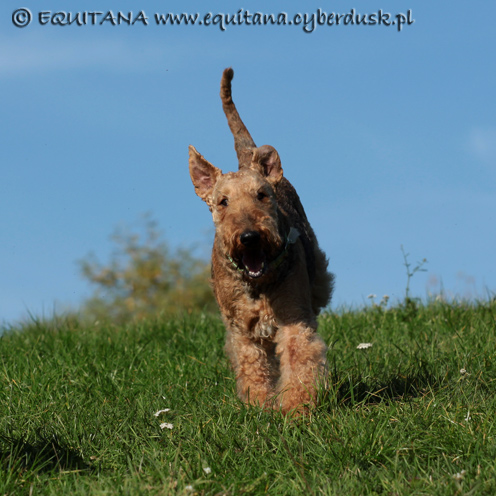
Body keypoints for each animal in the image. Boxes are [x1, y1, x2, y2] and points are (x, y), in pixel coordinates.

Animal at [189, 68, 334, 412]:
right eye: (223, 202)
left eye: (261, 195)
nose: (249, 237)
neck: (257, 281)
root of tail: (248, 156)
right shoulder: (243, 330)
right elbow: (253, 366)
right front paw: (259, 406)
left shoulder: (293, 317)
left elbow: (299, 359)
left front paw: (295, 408)